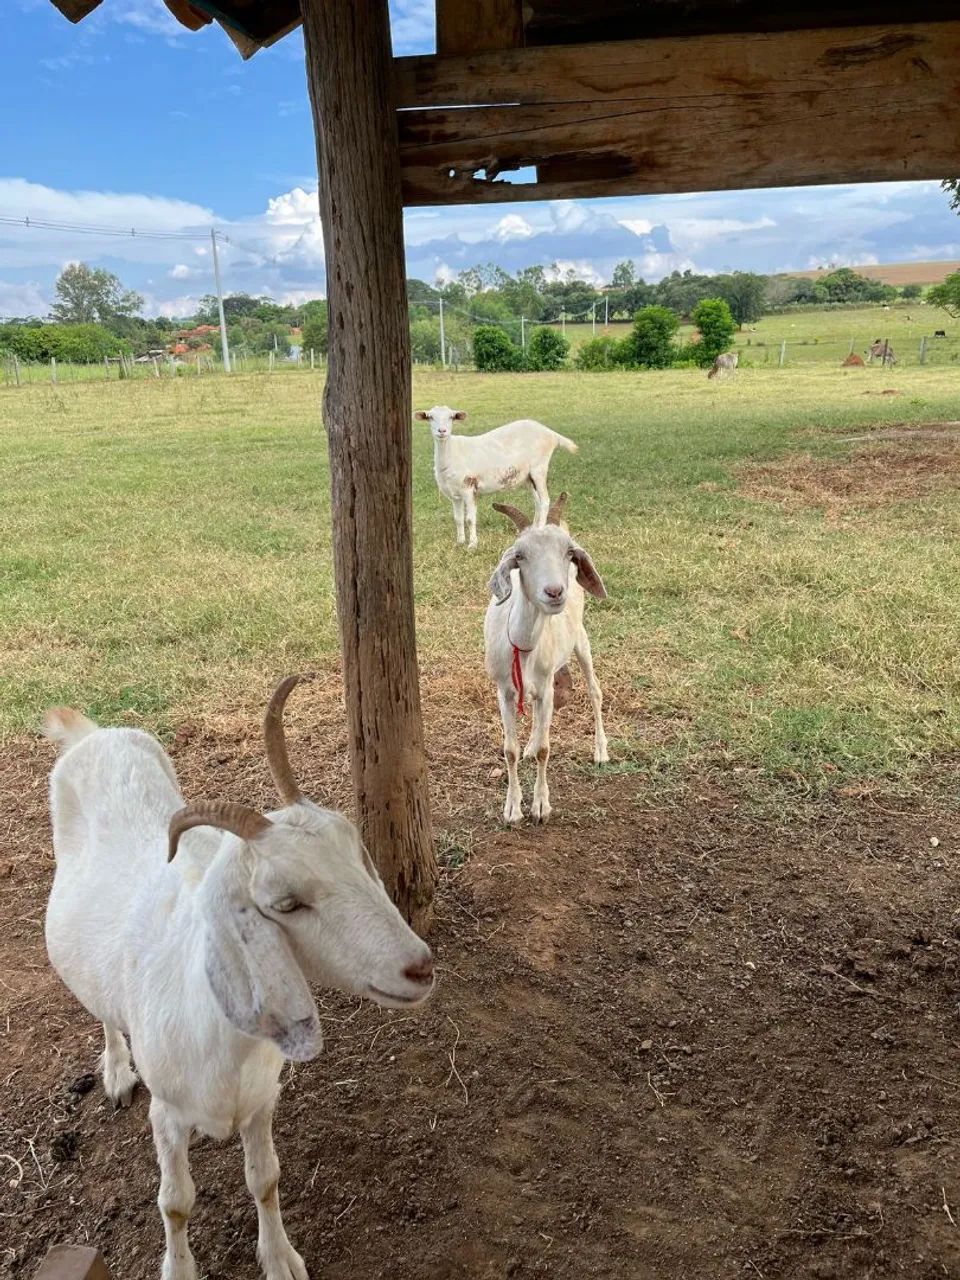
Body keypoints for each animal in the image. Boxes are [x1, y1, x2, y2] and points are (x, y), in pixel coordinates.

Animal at [43, 676, 434, 1280]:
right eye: (286, 903)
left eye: (358, 855)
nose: (419, 965)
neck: (217, 1035)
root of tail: (92, 734)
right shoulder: (167, 1114)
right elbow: (175, 1203)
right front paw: (179, 1269)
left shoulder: (260, 1100)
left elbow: (265, 1178)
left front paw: (280, 1258)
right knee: (106, 1011)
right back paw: (115, 1071)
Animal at [415, 405, 578, 549]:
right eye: (430, 417)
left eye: (451, 417)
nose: (442, 431)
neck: (452, 452)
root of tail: (551, 433)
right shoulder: (454, 494)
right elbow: (458, 519)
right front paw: (459, 542)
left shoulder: (469, 487)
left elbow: (470, 519)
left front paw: (472, 545)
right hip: (528, 476)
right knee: (537, 501)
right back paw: (533, 529)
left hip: (539, 468)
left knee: (544, 501)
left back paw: (541, 531)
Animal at [484, 494, 608, 825]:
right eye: (520, 555)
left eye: (569, 553)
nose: (554, 592)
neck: (522, 645)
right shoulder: (504, 691)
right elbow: (510, 750)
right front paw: (512, 808)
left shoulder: (546, 688)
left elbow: (544, 749)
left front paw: (540, 806)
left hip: (580, 639)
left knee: (594, 691)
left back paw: (601, 750)